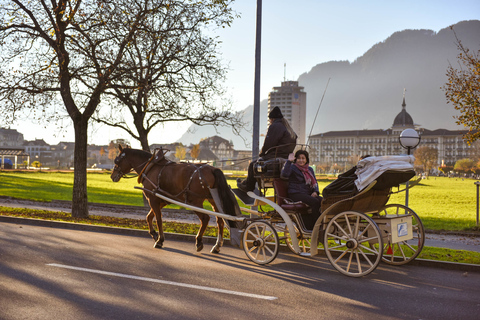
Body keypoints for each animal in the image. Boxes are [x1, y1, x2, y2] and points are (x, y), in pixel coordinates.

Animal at [111, 145, 242, 252]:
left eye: (117, 160)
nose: (112, 176)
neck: (151, 167)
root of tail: (212, 169)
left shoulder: (153, 199)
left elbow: (158, 219)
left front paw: (160, 240)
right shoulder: (162, 200)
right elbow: (149, 217)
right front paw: (154, 234)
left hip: (194, 201)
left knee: (205, 218)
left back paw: (199, 241)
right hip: (213, 199)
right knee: (220, 220)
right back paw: (217, 246)